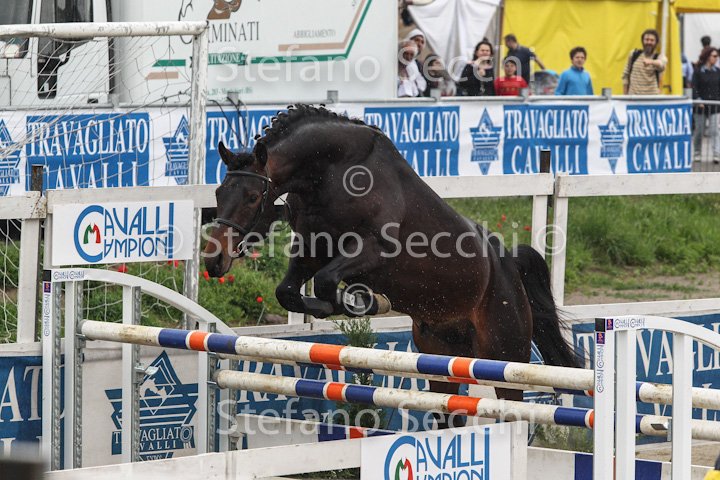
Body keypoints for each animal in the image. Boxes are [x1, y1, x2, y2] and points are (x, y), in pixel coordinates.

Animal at [204, 104, 577, 425]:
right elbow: (289, 292)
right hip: (443, 360)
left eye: (253, 197)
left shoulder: (374, 250)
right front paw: (344, 304)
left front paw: (367, 301)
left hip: (504, 356)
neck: (330, 172)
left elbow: (326, 283)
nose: (214, 259)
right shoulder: (312, 249)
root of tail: (510, 264)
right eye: (219, 193)